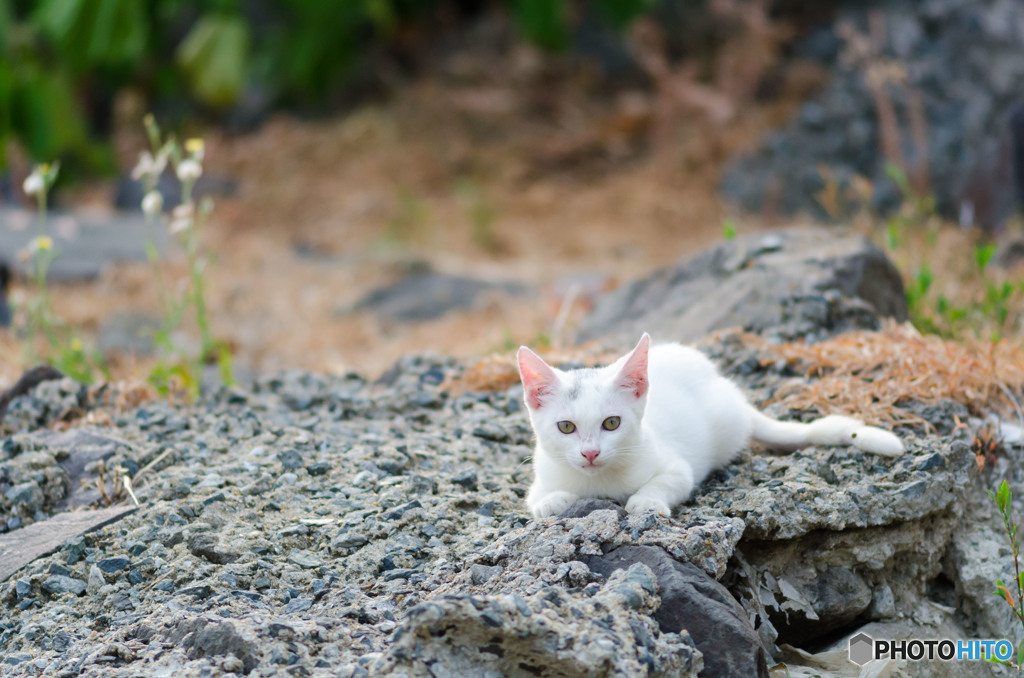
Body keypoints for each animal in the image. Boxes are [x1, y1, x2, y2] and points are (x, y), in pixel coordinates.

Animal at [520, 333, 905, 520]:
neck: (598, 483)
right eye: (566, 427)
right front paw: (553, 502)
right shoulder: (543, 473)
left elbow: (667, 482)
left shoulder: (677, 467)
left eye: (611, 423)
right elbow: (536, 499)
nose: (590, 452)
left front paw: (646, 502)